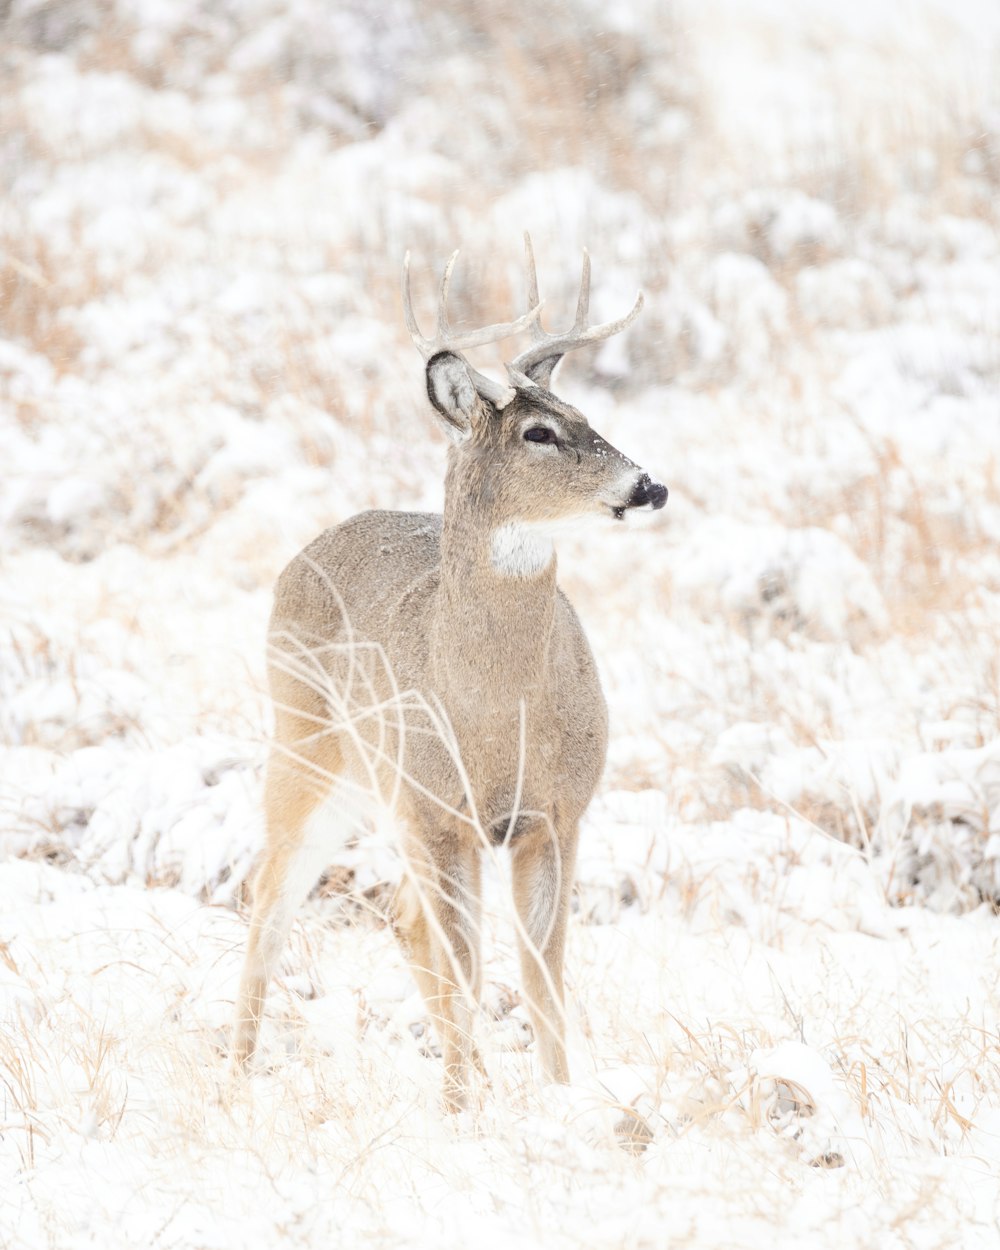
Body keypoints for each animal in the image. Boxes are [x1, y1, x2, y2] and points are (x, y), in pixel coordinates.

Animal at [231, 238, 670, 1110]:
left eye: (588, 417)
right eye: (539, 432)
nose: (649, 486)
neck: (499, 710)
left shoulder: (555, 814)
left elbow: (540, 975)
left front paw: (555, 1099)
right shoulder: (444, 813)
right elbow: (469, 970)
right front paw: (463, 1109)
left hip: (385, 796)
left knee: (401, 918)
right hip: (307, 746)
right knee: (271, 895)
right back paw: (232, 1074)